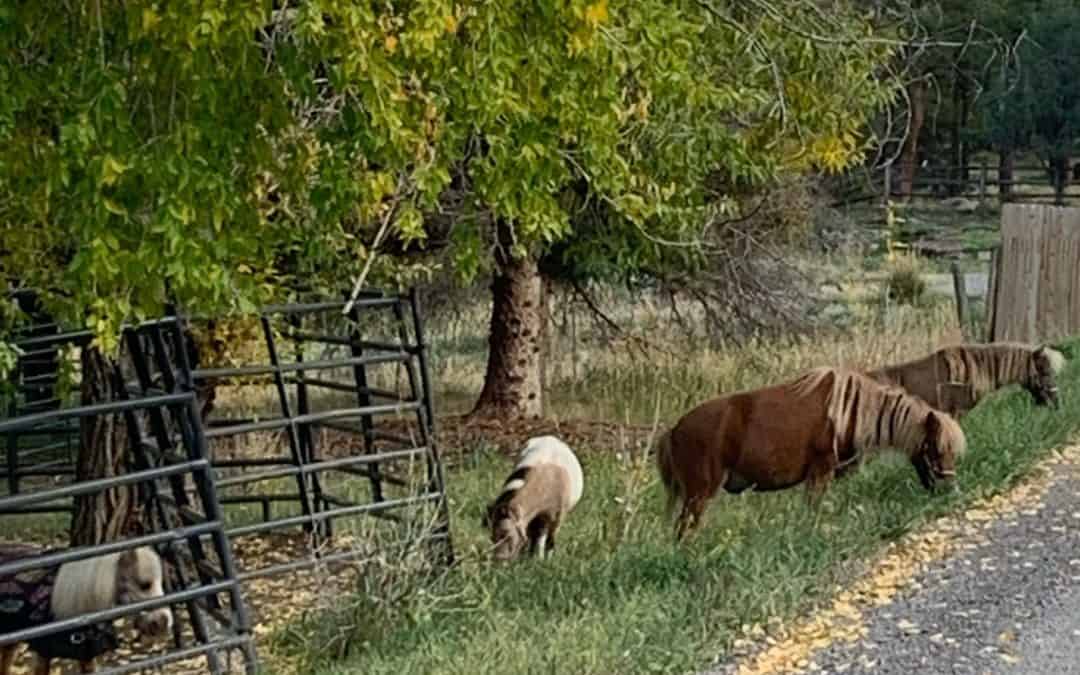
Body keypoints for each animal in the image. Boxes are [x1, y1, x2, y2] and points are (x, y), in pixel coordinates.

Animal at [655, 367, 966, 541]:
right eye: (935, 448)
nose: (950, 489)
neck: (849, 410)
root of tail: (674, 430)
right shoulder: (820, 471)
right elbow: (813, 509)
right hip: (699, 494)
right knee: (684, 531)